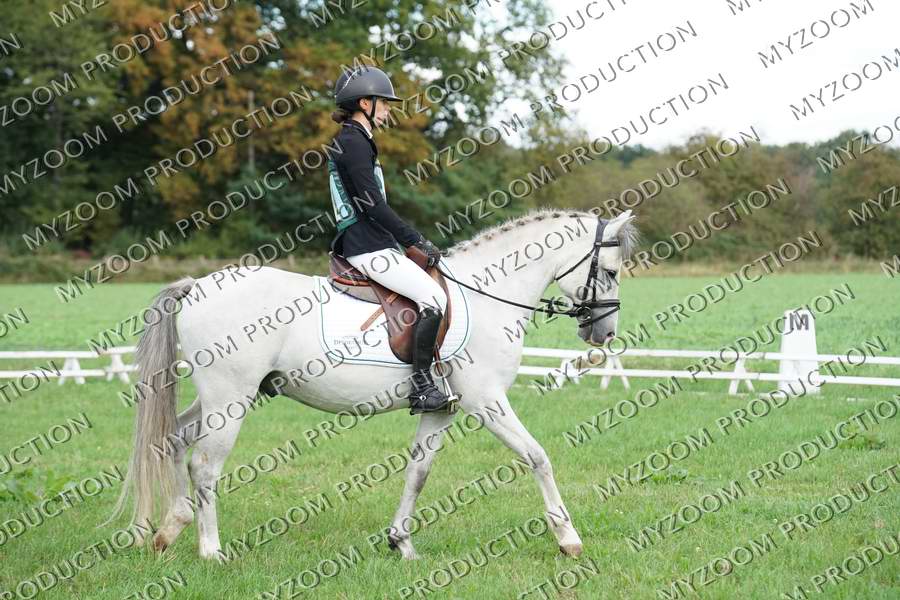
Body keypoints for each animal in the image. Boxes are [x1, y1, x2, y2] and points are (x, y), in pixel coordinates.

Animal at [105, 207, 638, 561]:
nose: (603, 335)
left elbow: (418, 472)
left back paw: (169, 530)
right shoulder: (486, 401)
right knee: (205, 466)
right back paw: (210, 551)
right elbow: (537, 457)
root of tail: (197, 284)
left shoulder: (440, 407)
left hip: (226, 397)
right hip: (228, 398)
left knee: (173, 440)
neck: (488, 295)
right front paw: (568, 539)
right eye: (610, 272)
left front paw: (401, 544)